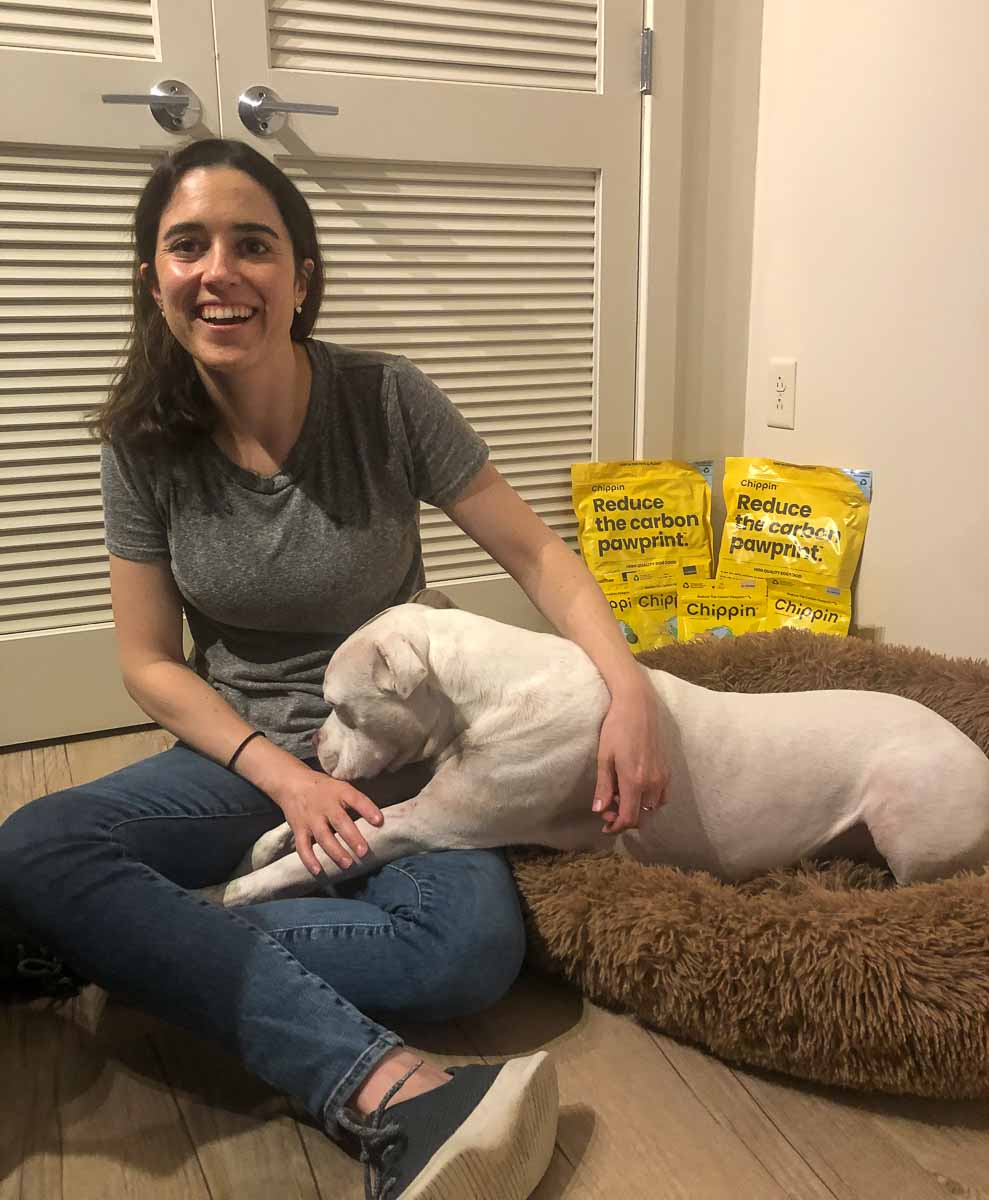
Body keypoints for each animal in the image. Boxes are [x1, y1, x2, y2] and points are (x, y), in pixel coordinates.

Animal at [200, 604, 989, 902]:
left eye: (338, 706)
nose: (314, 741)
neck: (485, 693)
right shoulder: (422, 787)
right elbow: (339, 814)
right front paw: (270, 837)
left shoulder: (428, 823)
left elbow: (336, 848)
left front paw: (236, 894)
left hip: (906, 807)